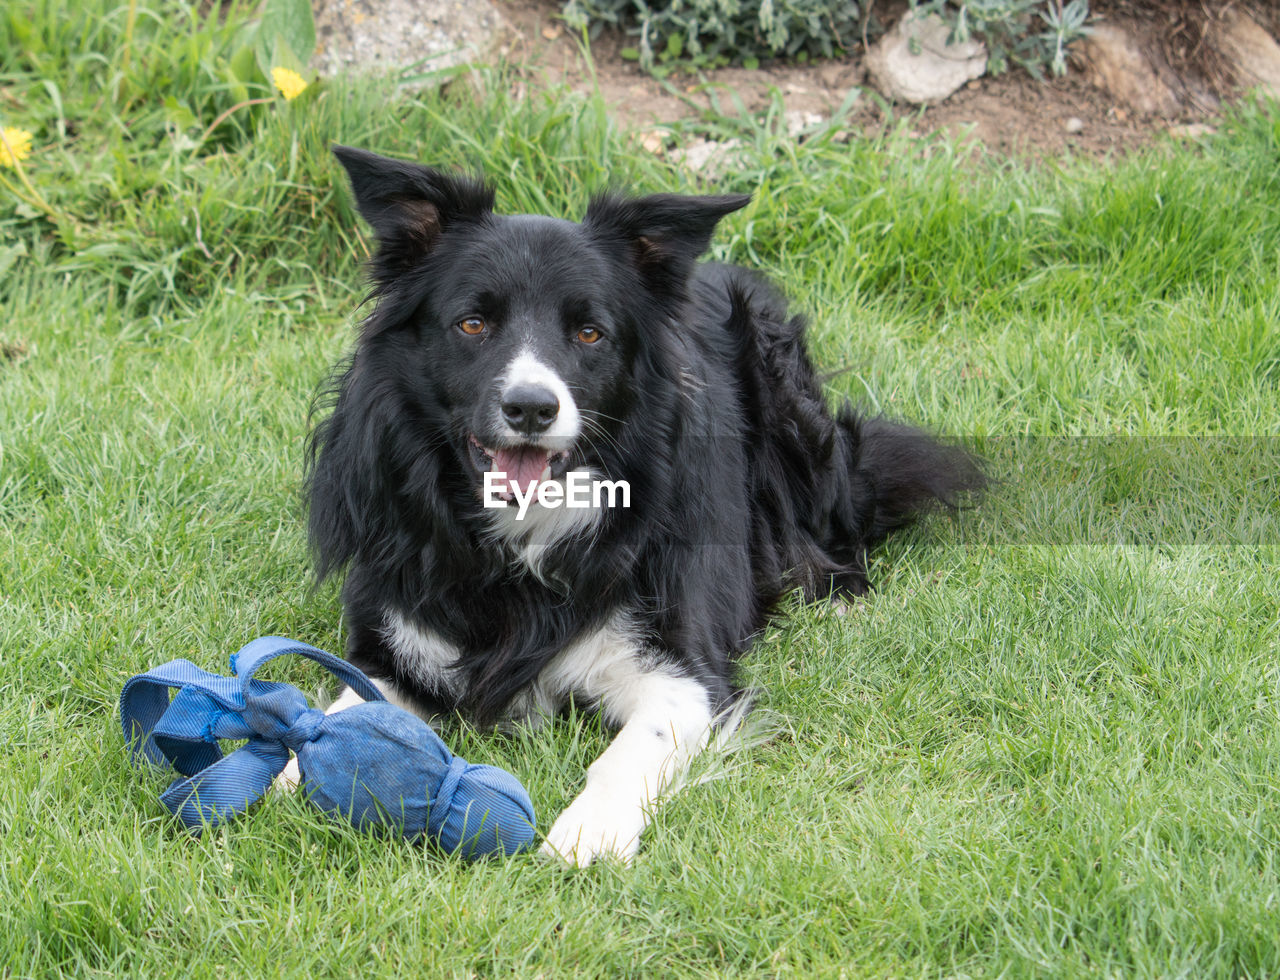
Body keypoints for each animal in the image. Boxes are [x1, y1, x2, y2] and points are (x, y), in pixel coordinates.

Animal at [280, 145, 977, 869]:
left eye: (590, 333)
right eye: (473, 324)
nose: (531, 408)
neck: (520, 541)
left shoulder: (683, 668)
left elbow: (629, 751)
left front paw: (587, 833)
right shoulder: (396, 640)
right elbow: (336, 713)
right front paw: (281, 776)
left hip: (792, 410)